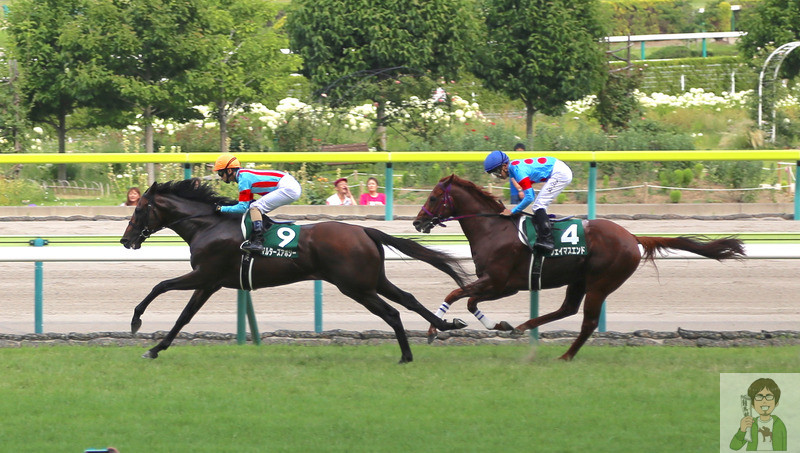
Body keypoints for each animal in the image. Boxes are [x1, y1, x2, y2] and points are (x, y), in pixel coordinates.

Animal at [120, 178, 469, 363]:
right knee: (408, 299)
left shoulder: (204, 275)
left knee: (392, 312)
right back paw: (444, 325)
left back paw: (407, 354)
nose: (125, 240)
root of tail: (365, 231)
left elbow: (160, 286)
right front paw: (155, 349)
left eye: (139, 210)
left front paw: (136, 322)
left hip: (355, 286)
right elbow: (184, 316)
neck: (208, 224)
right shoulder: (209, 283)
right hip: (372, 280)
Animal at [412, 174, 745, 361]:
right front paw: (501, 325)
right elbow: (468, 300)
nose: (417, 222)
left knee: (587, 322)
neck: (492, 229)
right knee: (567, 309)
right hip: (579, 280)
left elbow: (459, 296)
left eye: (433, 197)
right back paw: (525, 327)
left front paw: (434, 328)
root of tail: (632, 237)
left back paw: (566, 355)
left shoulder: (500, 283)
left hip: (601, 283)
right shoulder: (500, 285)